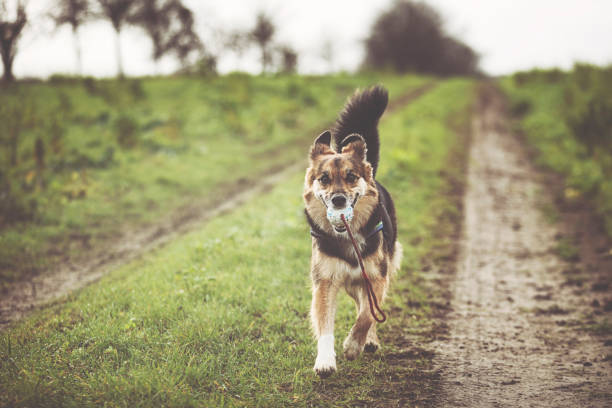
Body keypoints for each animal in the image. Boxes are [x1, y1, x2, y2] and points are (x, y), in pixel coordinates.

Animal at [302, 85, 402, 376]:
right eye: (324, 179)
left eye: (350, 177)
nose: (338, 200)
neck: (347, 238)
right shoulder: (325, 281)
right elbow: (325, 323)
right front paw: (325, 360)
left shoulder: (377, 277)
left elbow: (367, 315)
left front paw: (353, 345)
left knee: (368, 309)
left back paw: (368, 340)